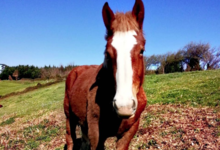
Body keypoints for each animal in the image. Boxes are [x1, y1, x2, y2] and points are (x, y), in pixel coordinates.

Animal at [63, 0, 146, 149]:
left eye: (141, 51)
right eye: (107, 53)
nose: (124, 106)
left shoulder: (129, 131)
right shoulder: (96, 134)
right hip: (69, 116)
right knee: (70, 139)